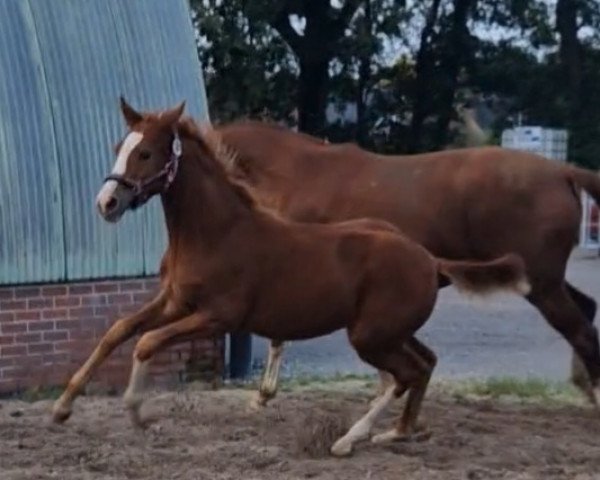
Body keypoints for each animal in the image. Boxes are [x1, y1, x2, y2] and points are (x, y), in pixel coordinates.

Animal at [52, 99, 528, 456]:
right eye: (119, 145)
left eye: (146, 153)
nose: (107, 203)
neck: (215, 231)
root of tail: (431, 260)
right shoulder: (174, 301)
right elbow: (118, 331)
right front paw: (61, 408)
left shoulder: (218, 316)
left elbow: (147, 342)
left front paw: (138, 413)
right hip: (390, 332)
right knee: (424, 363)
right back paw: (398, 432)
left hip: (370, 336)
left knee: (407, 373)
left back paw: (349, 439)